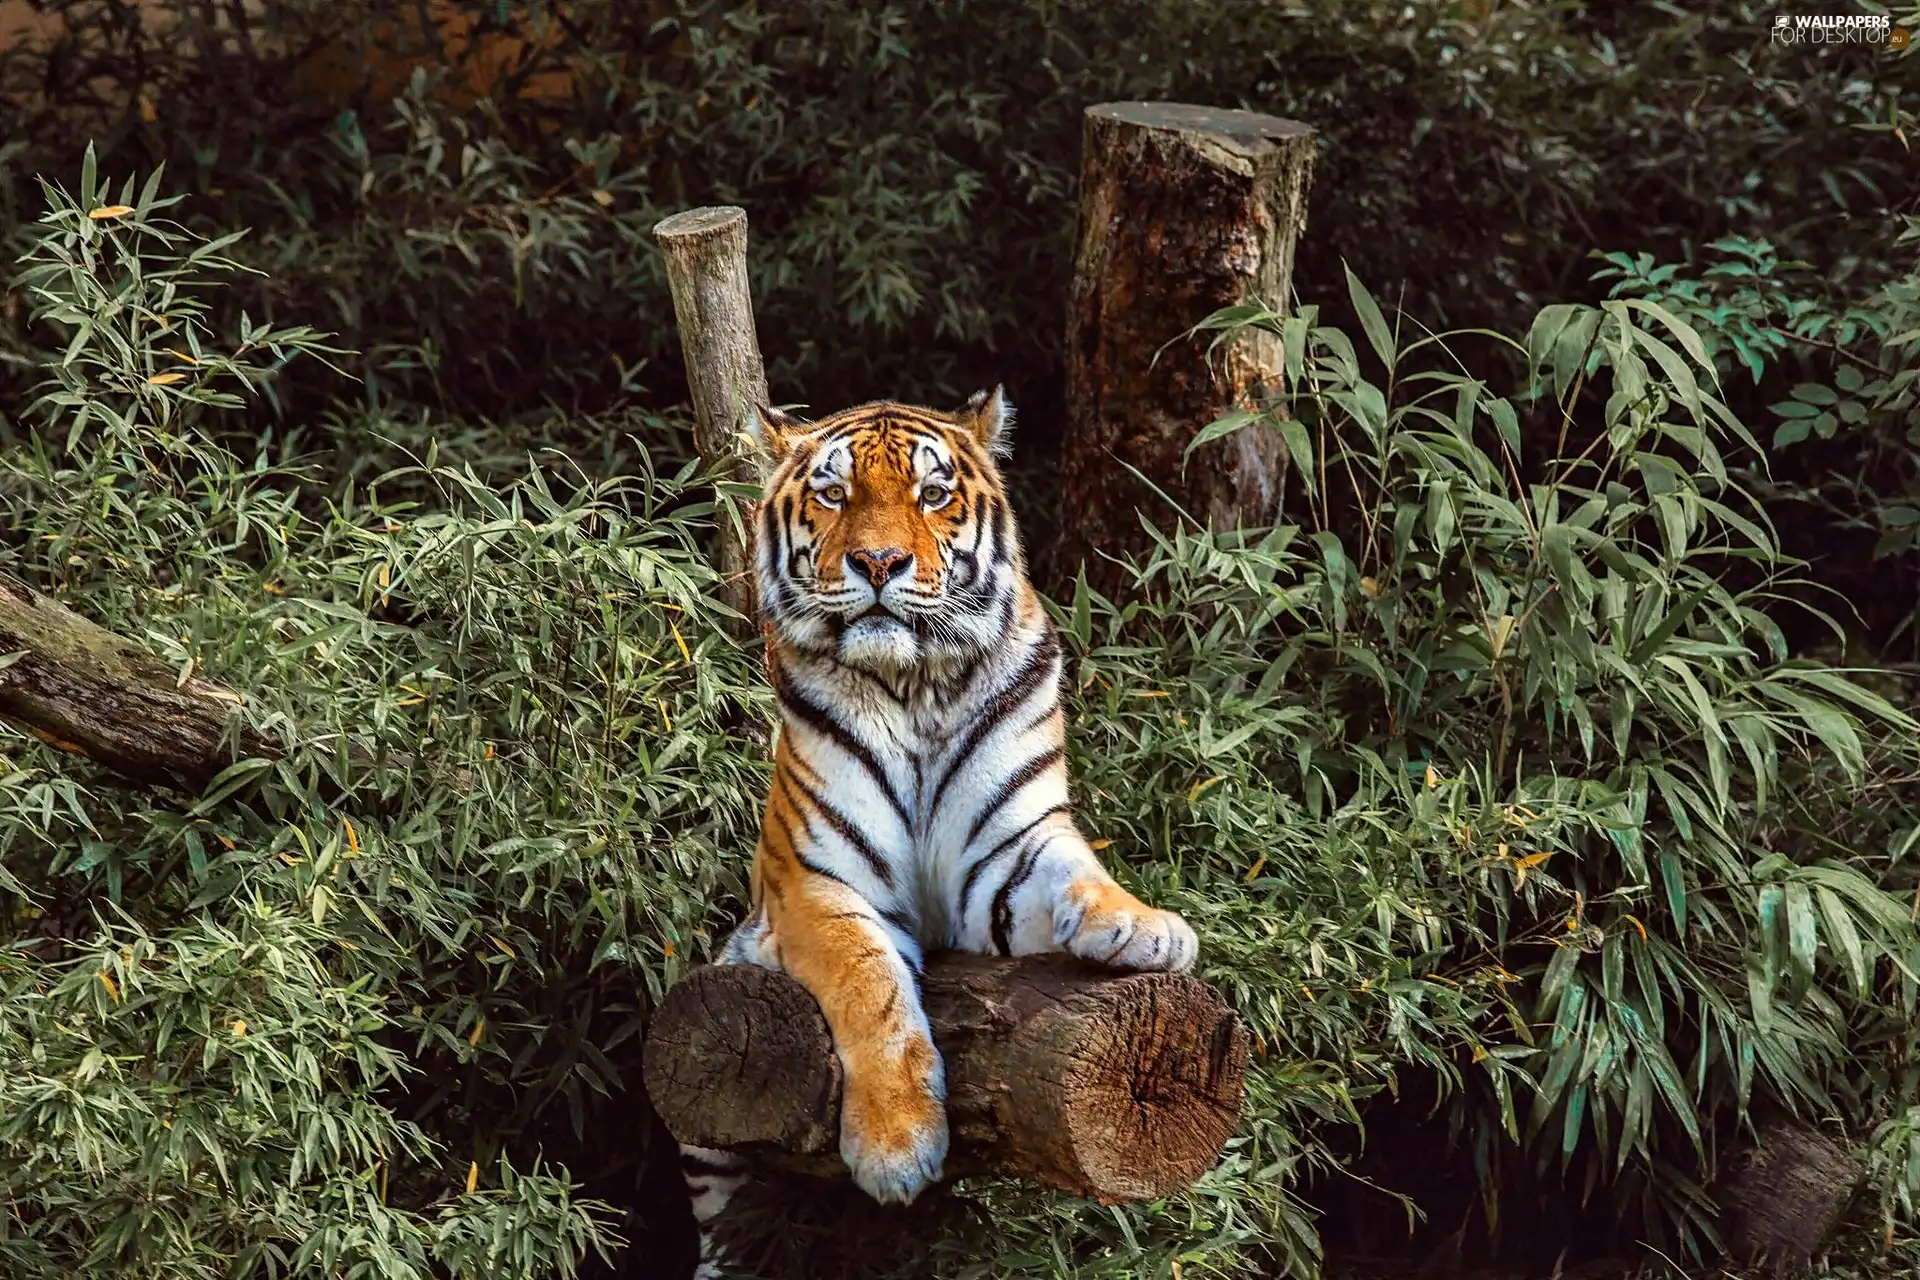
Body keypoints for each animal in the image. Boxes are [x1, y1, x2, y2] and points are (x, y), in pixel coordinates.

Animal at [683, 385, 1198, 1274]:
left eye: (932, 495)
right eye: (834, 494)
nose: (879, 564)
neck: (913, 682)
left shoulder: (1009, 853)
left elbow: (1079, 870)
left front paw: (1144, 928)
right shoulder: (816, 883)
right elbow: (867, 983)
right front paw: (895, 1147)